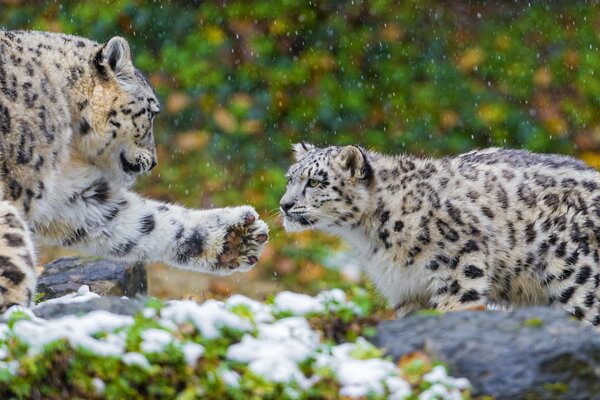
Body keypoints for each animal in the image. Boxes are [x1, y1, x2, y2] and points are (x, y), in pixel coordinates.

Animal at [278, 143, 600, 324]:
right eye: (290, 178)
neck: (369, 237)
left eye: (315, 182)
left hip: (579, 281)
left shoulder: (460, 269)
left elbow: (454, 309)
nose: (284, 204)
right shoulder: (406, 289)